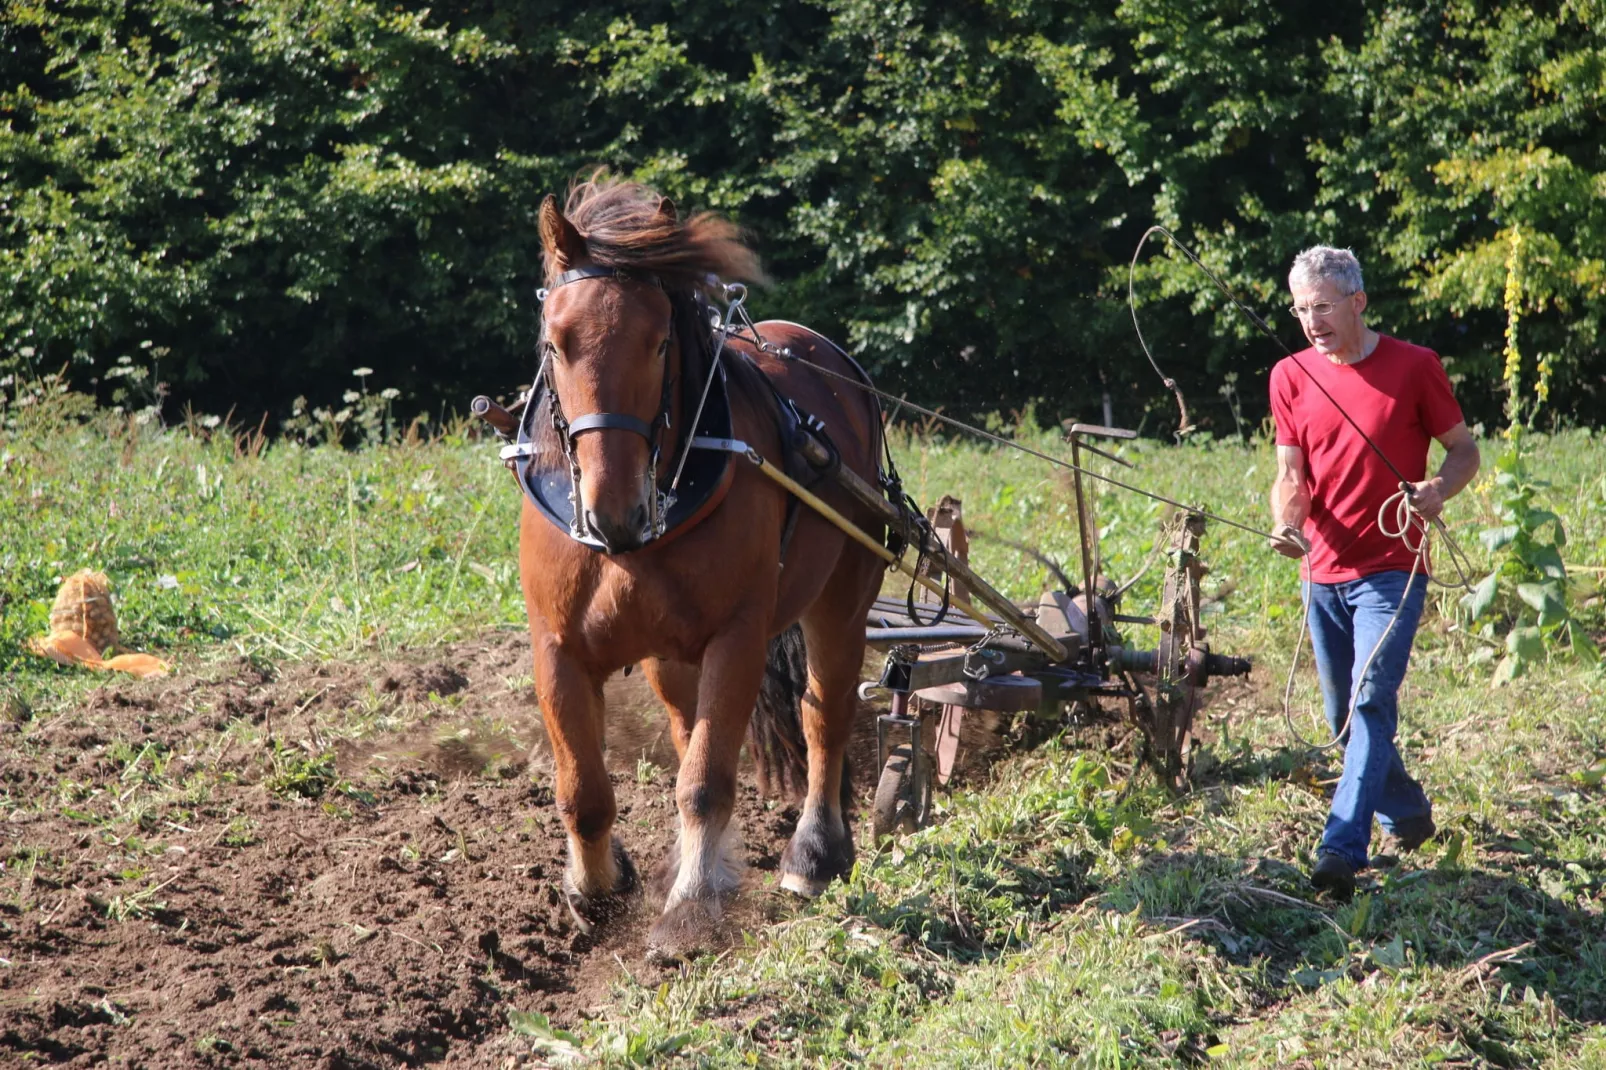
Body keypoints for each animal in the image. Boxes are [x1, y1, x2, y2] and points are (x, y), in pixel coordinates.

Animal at [523, 175, 880, 957]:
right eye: (556, 343)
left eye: (659, 342)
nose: (614, 510)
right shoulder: (556, 645)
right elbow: (584, 791)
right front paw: (599, 889)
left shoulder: (738, 635)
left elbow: (706, 780)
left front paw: (689, 908)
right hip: (670, 651)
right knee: (690, 727)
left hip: (842, 596)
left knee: (825, 714)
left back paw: (814, 854)